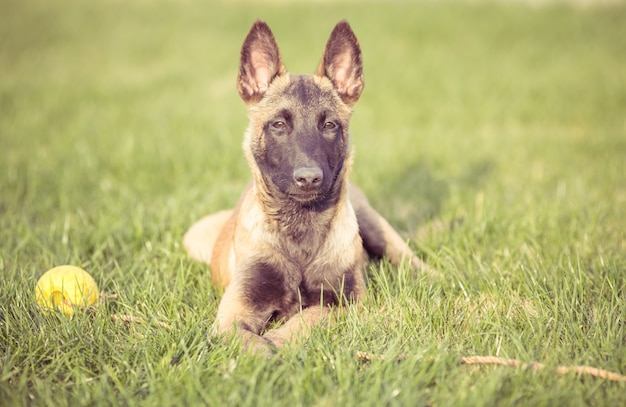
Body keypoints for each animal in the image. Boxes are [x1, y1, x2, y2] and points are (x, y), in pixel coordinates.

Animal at [180, 20, 424, 356]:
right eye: (279, 125)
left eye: (329, 125)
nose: (308, 178)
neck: (301, 228)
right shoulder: (233, 313)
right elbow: (247, 339)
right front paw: (266, 352)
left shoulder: (347, 302)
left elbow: (311, 315)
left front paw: (280, 340)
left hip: (377, 228)